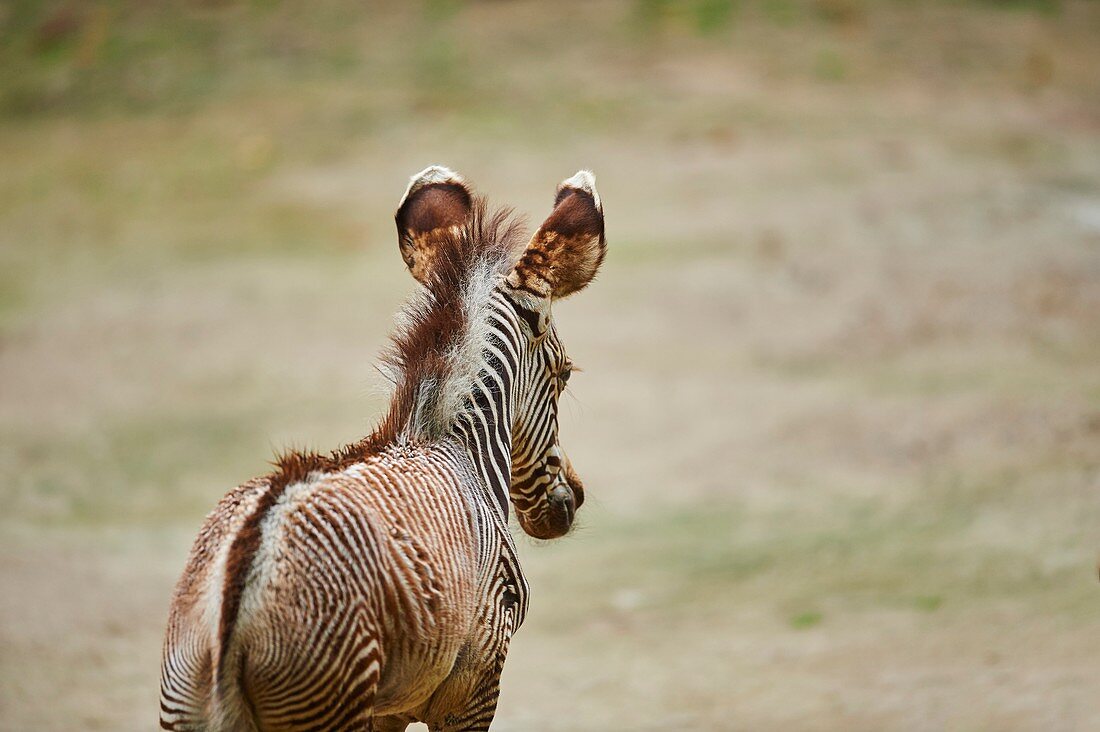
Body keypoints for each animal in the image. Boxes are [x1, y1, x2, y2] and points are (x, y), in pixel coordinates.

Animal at [160, 167, 611, 730]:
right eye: (565, 374)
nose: (572, 499)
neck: (456, 447)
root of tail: (234, 598)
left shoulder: (392, 705)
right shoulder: (474, 685)